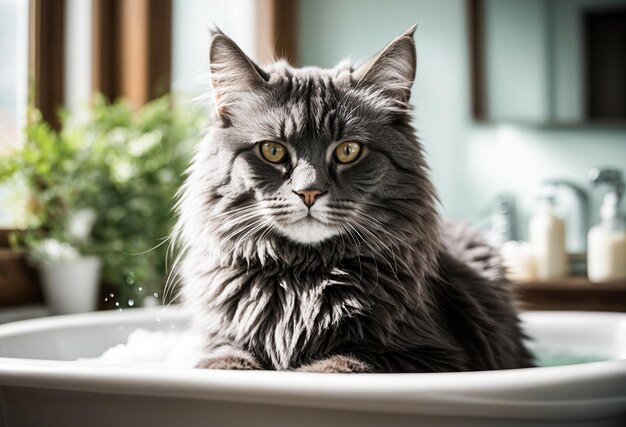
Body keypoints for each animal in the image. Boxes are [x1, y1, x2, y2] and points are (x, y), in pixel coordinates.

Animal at [172, 26, 532, 372]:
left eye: (348, 151)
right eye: (273, 151)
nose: (309, 191)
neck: (302, 282)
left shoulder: (435, 355)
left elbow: (348, 362)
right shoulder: (221, 339)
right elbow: (223, 359)